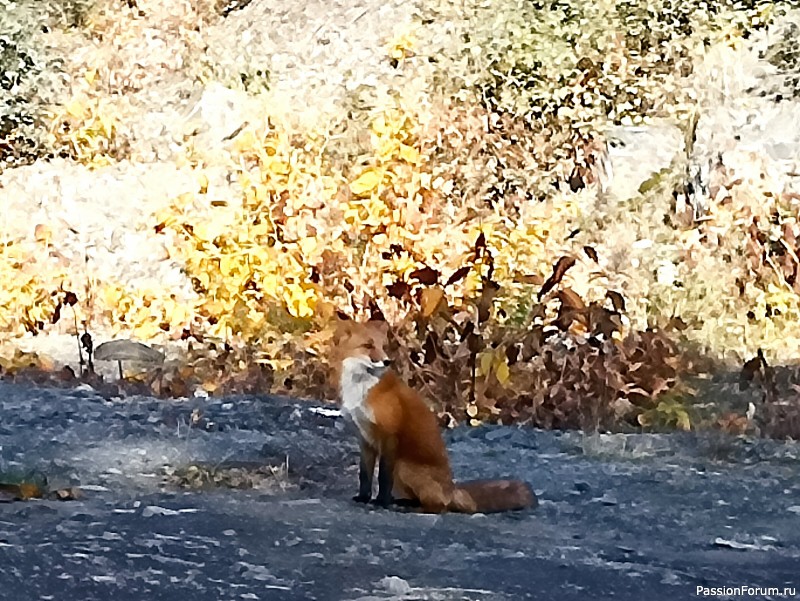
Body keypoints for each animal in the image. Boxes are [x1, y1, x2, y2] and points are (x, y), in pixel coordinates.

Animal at [332, 316, 536, 512]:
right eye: (368, 346)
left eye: (383, 346)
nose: (387, 361)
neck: (359, 390)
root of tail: (451, 489)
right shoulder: (365, 438)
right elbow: (364, 475)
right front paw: (363, 497)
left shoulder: (389, 435)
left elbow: (383, 477)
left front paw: (381, 501)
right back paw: (403, 503)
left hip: (402, 466)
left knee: (439, 506)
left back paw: (410, 508)